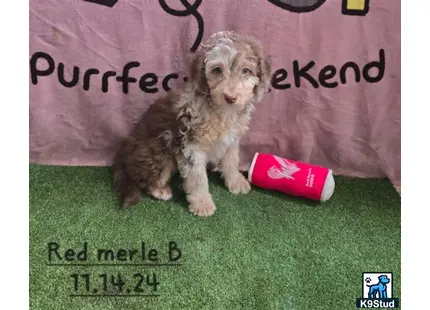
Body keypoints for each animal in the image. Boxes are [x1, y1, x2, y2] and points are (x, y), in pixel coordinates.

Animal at [111, 30, 272, 216]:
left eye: (246, 70)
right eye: (217, 70)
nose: (230, 97)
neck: (222, 111)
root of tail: (123, 154)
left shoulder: (232, 139)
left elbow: (232, 160)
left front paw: (235, 181)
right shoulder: (191, 145)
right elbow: (197, 177)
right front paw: (202, 204)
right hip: (160, 149)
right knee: (144, 178)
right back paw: (160, 190)